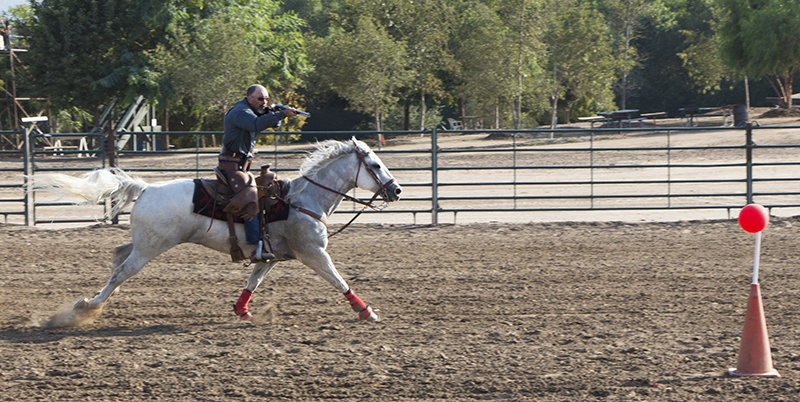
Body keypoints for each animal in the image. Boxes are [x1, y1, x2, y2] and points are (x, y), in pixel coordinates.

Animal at [31, 138, 404, 326]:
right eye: (375, 164)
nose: (397, 190)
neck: (304, 199)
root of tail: (147, 188)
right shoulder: (313, 253)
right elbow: (338, 280)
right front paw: (366, 311)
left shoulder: (270, 256)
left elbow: (253, 282)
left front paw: (242, 310)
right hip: (150, 248)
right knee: (121, 270)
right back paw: (87, 306)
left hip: (142, 244)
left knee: (117, 256)